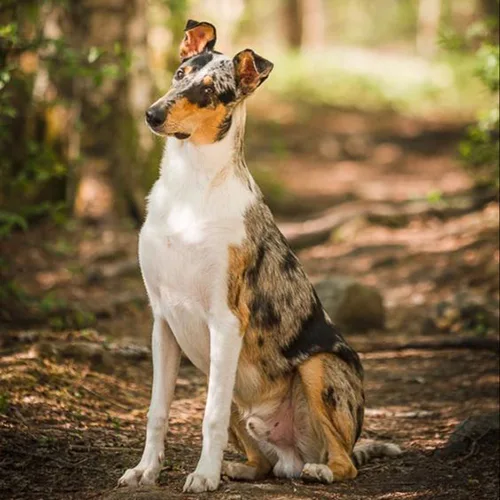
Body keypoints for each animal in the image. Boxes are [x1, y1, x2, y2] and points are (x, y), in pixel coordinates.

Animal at [118, 19, 402, 492]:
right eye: (180, 74)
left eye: (209, 91)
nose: (152, 115)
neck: (190, 187)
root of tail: (292, 453)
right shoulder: (162, 322)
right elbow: (157, 410)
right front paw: (146, 470)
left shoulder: (226, 320)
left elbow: (210, 418)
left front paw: (202, 476)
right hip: (232, 386)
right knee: (264, 463)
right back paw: (238, 467)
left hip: (318, 368)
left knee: (345, 461)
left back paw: (318, 469)